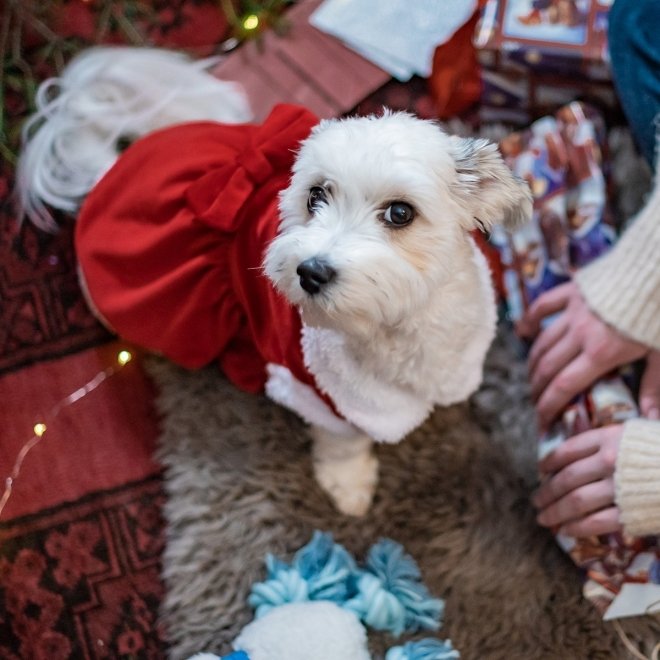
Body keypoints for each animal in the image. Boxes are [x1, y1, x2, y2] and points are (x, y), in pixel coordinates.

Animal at [16, 49, 532, 520]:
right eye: (316, 195)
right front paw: (348, 483)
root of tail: (108, 171)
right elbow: (343, 442)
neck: (400, 322)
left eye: (401, 212)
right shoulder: (317, 389)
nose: (310, 272)